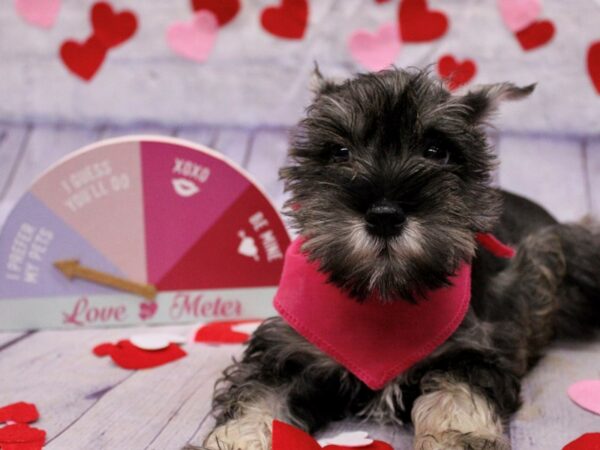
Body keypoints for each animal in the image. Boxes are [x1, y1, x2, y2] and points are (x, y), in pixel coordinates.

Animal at [195, 67, 596, 450]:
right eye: (340, 152)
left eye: (436, 151)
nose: (385, 216)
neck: (383, 297)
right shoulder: (287, 352)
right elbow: (259, 397)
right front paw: (240, 438)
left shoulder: (470, 353)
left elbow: (456, 399)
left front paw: (458, 439)